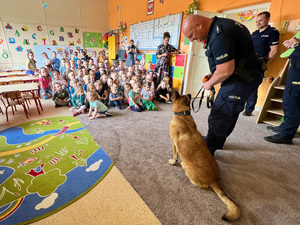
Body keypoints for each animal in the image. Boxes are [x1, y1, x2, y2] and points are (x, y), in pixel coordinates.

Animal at [170, 91, 240, 221]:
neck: (183, 114)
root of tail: (215, 180)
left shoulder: (173, 144)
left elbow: (174, 155)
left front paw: (172, 161)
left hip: (185, 164)